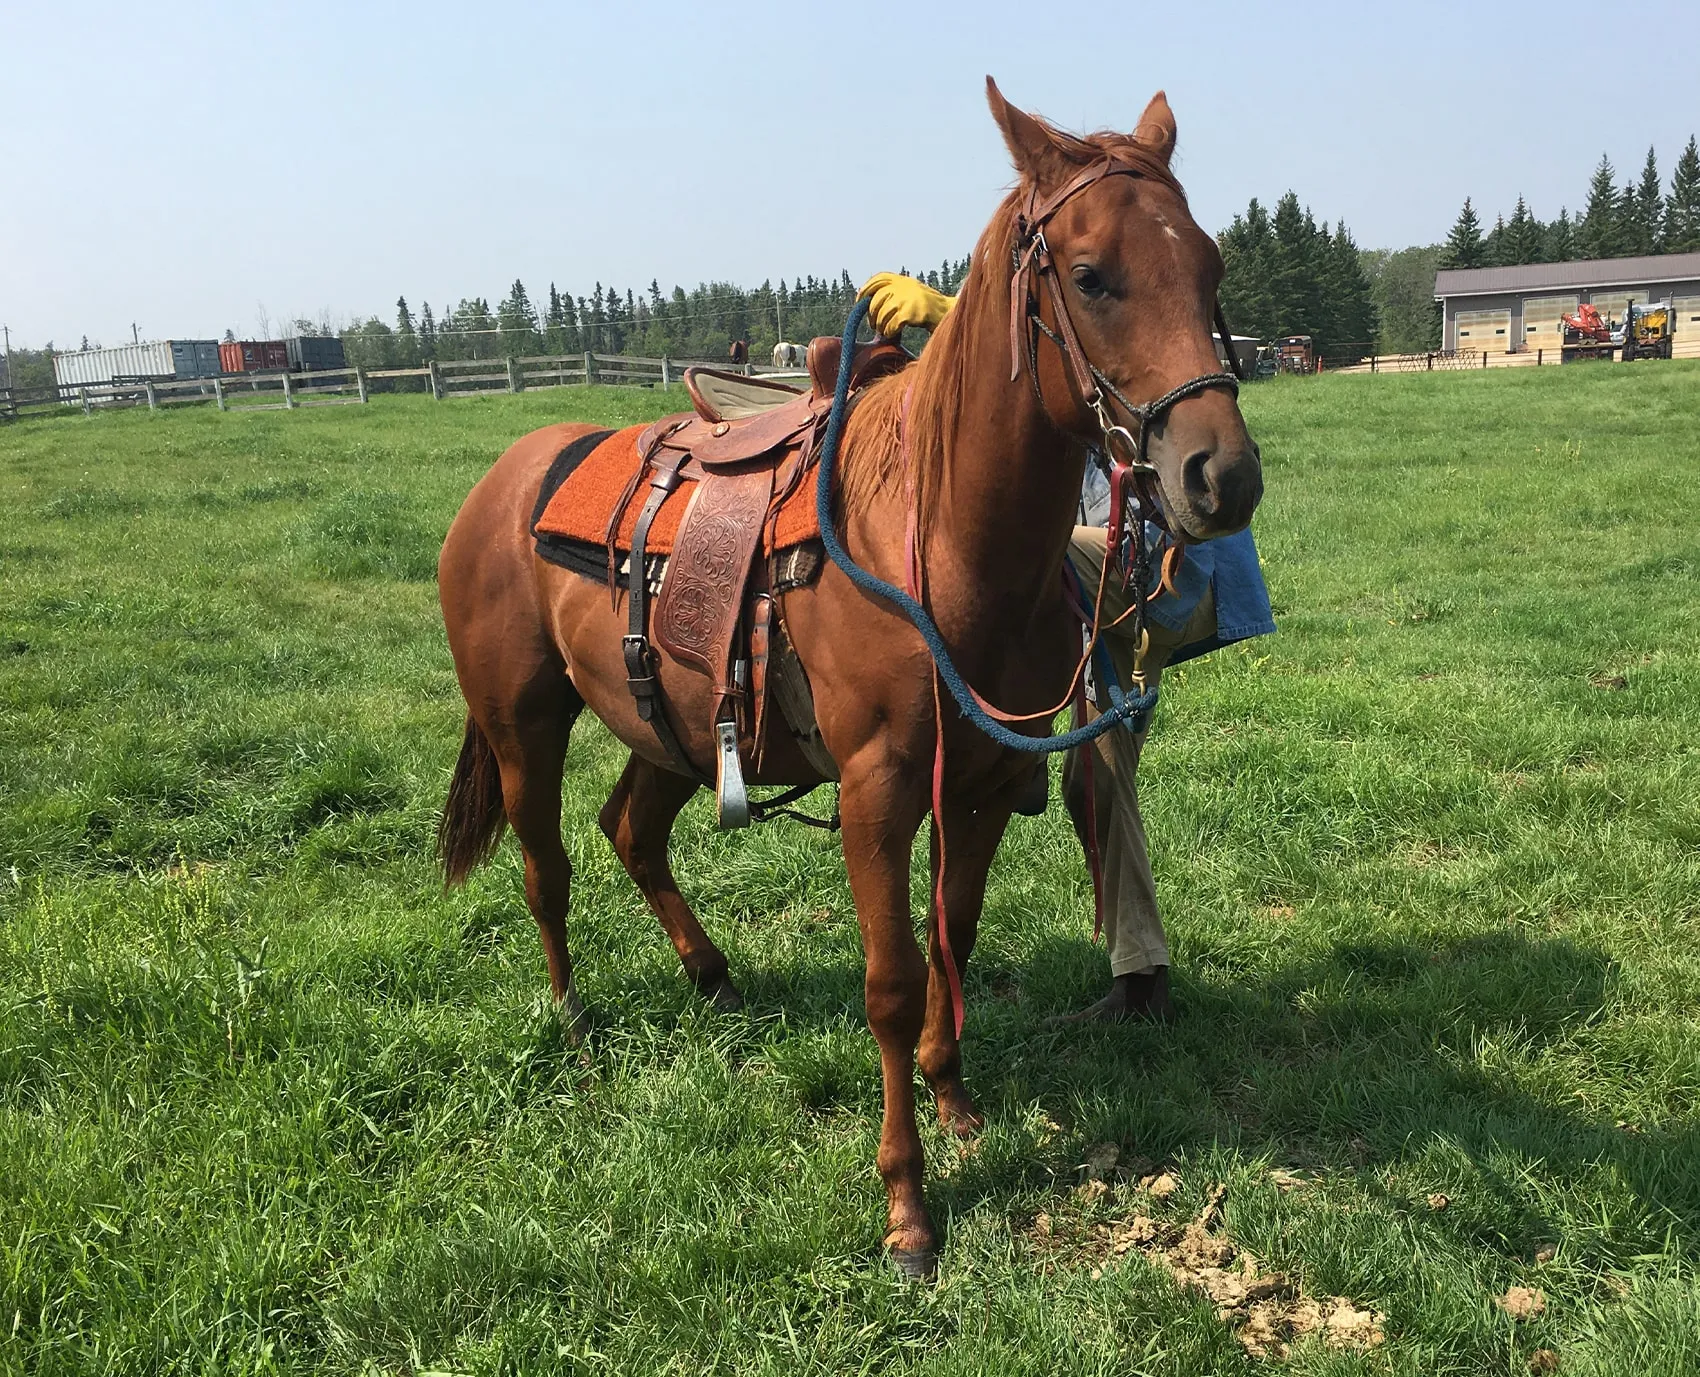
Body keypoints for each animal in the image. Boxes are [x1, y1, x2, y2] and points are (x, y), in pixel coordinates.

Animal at [436, 78, 1262, 1276]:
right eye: (1091, 274)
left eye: (1208, 266)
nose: (1220, 476)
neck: (936, 541)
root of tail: (507, 476)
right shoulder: (877, 796)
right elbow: (890, 981)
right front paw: (907, 1209)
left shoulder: (976, 788)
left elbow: (953, 935)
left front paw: (956, 1100)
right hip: (521, 724)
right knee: (546, 866)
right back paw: (576, 1021)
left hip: (669, 726)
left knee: (629, 830)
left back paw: (714, 977)